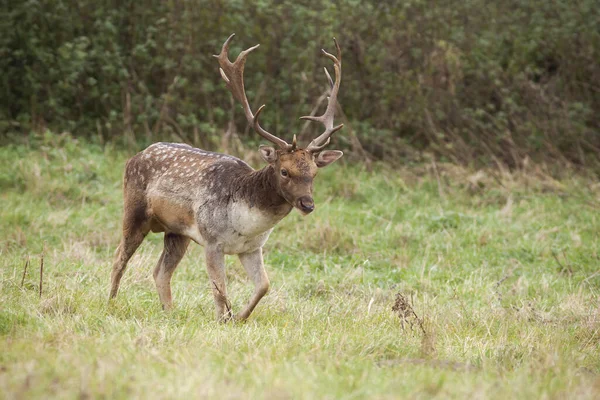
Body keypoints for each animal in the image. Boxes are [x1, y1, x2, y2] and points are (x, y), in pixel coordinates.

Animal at [107, 35, 342, 322]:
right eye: (284, 171)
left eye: (314, 173)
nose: (308, 204)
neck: (245, 221)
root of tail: (135, 156)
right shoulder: (211, 240)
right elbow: (220, 290)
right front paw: (223, 319)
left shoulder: (252, 248)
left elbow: (264, 285)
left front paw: (240, 316)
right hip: (134, 210)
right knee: (119, 257)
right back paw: (111, 303)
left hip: (176, 232)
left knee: (160, 271)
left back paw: (170, 313)